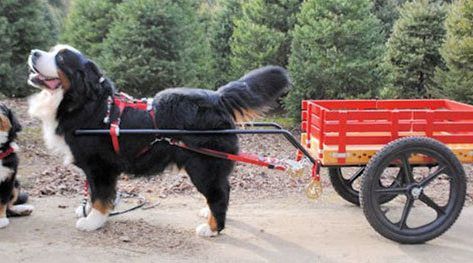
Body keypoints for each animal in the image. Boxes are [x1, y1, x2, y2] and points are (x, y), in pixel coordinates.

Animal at [27, 44, 290, 238]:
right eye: (52, 51)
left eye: (61, 59)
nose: (33, 52)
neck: (88, 103)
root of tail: (217, 97)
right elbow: (93, 193)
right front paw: (88, 211)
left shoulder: (100, 166)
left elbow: (100, 195)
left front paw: (93, 220)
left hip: (203, 164)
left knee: (220, 193)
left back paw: (212, 228)